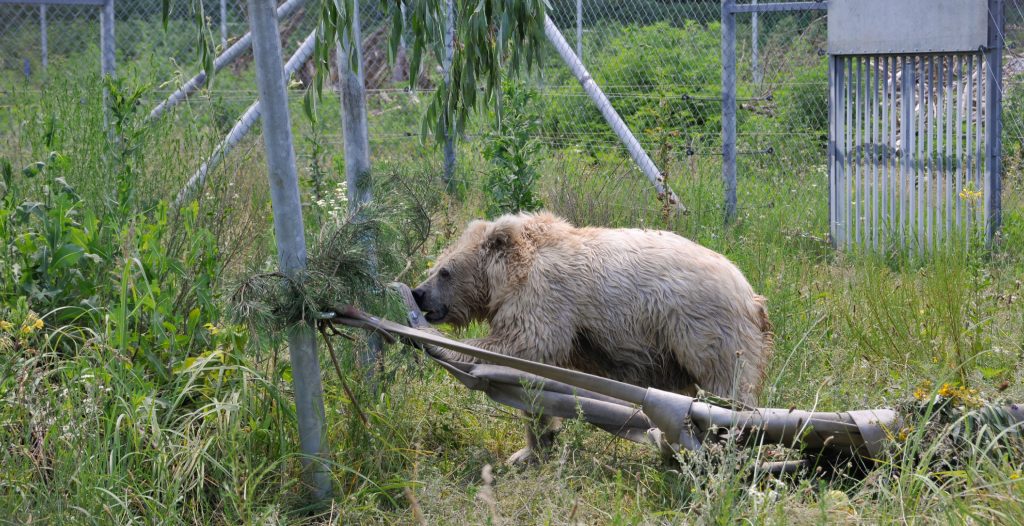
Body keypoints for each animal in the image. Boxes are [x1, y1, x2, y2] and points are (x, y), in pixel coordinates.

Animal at [411, 210, 770, 460]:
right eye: (435, 266)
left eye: (445, 271)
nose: (419, 293)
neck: (510, 276)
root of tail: (749, 293)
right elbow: (534, 385)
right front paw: (531, 449)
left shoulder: (546, 296)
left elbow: (521, 344)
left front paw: (441, 345)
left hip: (701, 327)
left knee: (727, 387)